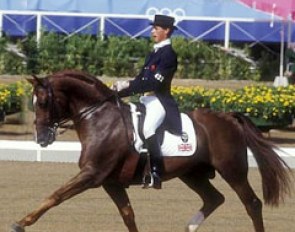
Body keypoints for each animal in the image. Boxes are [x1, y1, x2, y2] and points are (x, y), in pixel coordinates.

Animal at [12, 70, 292, 232]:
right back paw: (189, 227)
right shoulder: (111, 182)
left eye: (43, 101)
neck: (100, 118)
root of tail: (228, 117)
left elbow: (55, 196)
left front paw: (20, 223)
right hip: (192, 174)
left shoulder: (92, 174)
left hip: (232, 170)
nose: (41, 138)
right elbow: (128, 215)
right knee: (214, 199)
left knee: (252, 204)